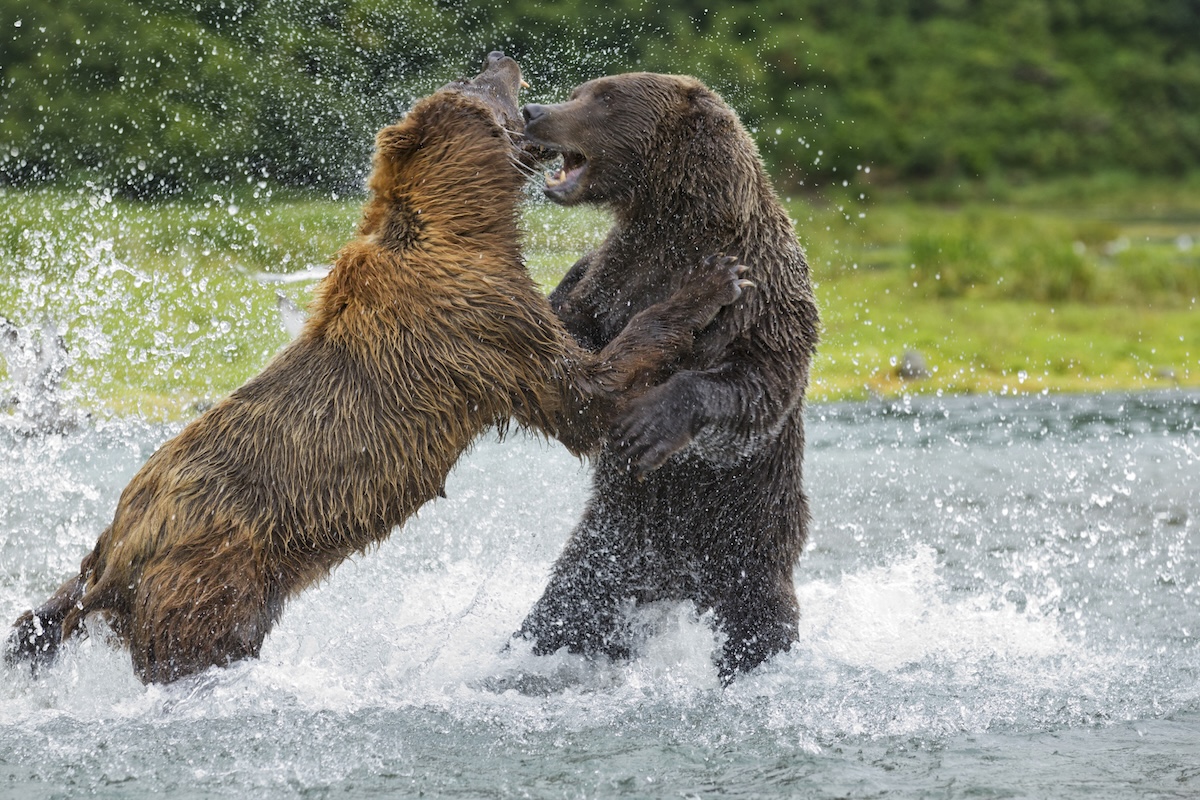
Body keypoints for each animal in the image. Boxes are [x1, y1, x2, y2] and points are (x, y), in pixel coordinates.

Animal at [5, 53, 749, 684]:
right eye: (484, 87)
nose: (500, 57)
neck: (465, 227)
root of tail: (116, 551)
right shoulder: (483, 325)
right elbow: (583, 394)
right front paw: (711, 281)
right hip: (210, 575)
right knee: (199, 644)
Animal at [514, 72, 820, 682]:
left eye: (604, 97)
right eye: (581, 92)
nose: (534, 109)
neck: (678, 226)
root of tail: (679, 587)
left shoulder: (768, 293)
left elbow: (757, 388)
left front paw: (650, 424)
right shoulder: (613, 279)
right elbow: (575, 362)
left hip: (746, 548)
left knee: (759, 629)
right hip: (614, 549)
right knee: (565, 612)